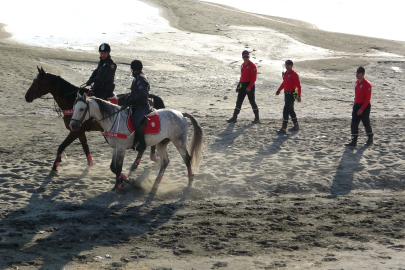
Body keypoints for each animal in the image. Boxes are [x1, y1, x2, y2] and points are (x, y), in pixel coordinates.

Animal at [70, 94, 204, 191]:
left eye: (81, 109)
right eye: (73, 108)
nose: (72, 125)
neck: (114, 120)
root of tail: (181, 114)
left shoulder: (121, 148)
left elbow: (118, 168)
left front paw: (121, 184)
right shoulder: (116, 148)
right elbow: (113, 167)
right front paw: (124, 181)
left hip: (179, 142)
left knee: (187, 158)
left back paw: (190, 181)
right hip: (161, 143)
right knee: (165, 161)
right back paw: (156, 182)